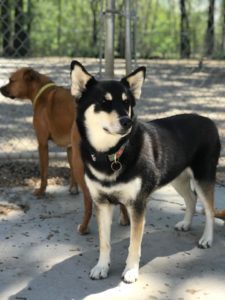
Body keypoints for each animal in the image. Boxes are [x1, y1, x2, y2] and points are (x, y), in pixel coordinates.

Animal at [0, 68, 92, 234]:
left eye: (11, 80)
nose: (0, 89)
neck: (40, 90)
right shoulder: (70, 148)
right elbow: (71, 170)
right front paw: (73, 189)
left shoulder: (42, 144)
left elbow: (43, 172)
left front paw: (41, 192)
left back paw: (84, 227)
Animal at [71, 61, 221, 284]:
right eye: (104, 102)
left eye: (127, 103)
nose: (127, 121)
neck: (111, 154)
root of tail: (209, 120)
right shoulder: (102, 203)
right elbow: (104, 241)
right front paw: (102, 267)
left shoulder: (137, 204)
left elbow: (134, 244)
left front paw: (131, 271)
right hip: (178, 178)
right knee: (191, 199)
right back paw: (186, 224)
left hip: (203, 177)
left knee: (210, 209)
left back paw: (207, 239)